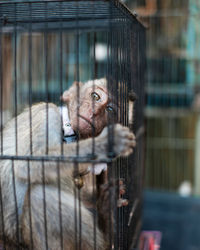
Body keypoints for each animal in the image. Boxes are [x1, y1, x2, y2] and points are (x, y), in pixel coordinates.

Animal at [0, 77, 136, 248]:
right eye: (95, 96)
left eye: (110, 109)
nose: (94, 112)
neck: (68, 132)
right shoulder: (46, 115)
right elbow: (28, 165)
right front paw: (106, 143)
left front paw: (98, 197)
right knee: (39, 197)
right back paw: (105, 236)